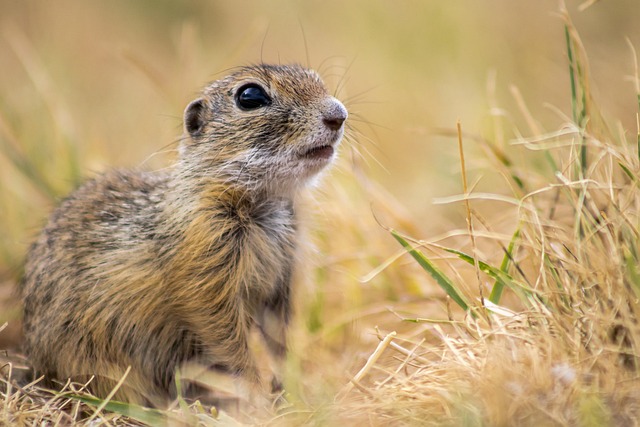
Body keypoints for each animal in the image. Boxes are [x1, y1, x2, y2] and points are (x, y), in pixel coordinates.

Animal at [20, 64, 347, 406]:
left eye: (317, 79)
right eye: (250, 96)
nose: (338, 115)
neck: (262, 200)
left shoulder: (281, 279)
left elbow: (279, 339)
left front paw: (295, 390)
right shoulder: (205, 274)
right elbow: (227, 339)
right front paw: (259, 396)